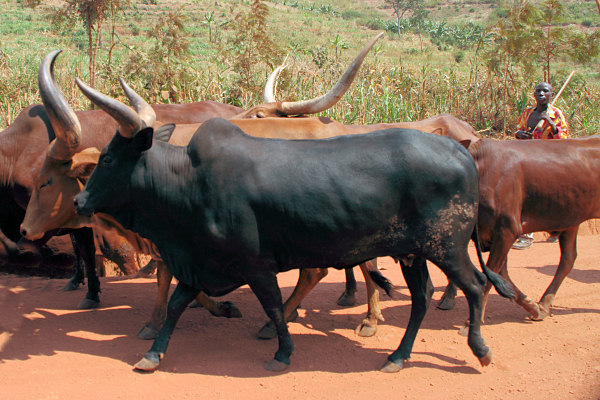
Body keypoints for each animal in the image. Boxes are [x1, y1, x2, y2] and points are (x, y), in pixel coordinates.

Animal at [72, 79, 514, 373]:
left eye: (108, 159)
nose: (78, 201)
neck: (189, 181)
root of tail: (461, 152)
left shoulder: (253, 264)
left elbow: (272, 305)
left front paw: (282, 352)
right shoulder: (201, 261)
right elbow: (179, 303)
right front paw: (152, 354)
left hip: (447, 247)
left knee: (476, 286)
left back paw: (480, 349)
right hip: (412, 253)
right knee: (422, 297)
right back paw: (398, 356)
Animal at [437, 137, 600, 322]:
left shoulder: (507, 230)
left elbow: (490, 275)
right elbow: (501, 275)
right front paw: (534, 308)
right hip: (570, 219)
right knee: (568, 259)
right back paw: (544, 304)